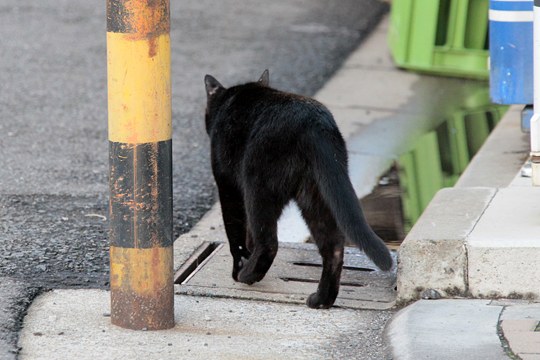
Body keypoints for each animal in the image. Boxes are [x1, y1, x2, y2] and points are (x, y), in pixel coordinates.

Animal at [204, 71, 392, 310]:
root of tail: (314, 124)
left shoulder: (228, 186)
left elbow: (236, 233)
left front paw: (240, 264)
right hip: (315, 195)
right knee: (333, 247)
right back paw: (321, 300)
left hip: (259, 189)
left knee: (269, 242)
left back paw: (247, 275)